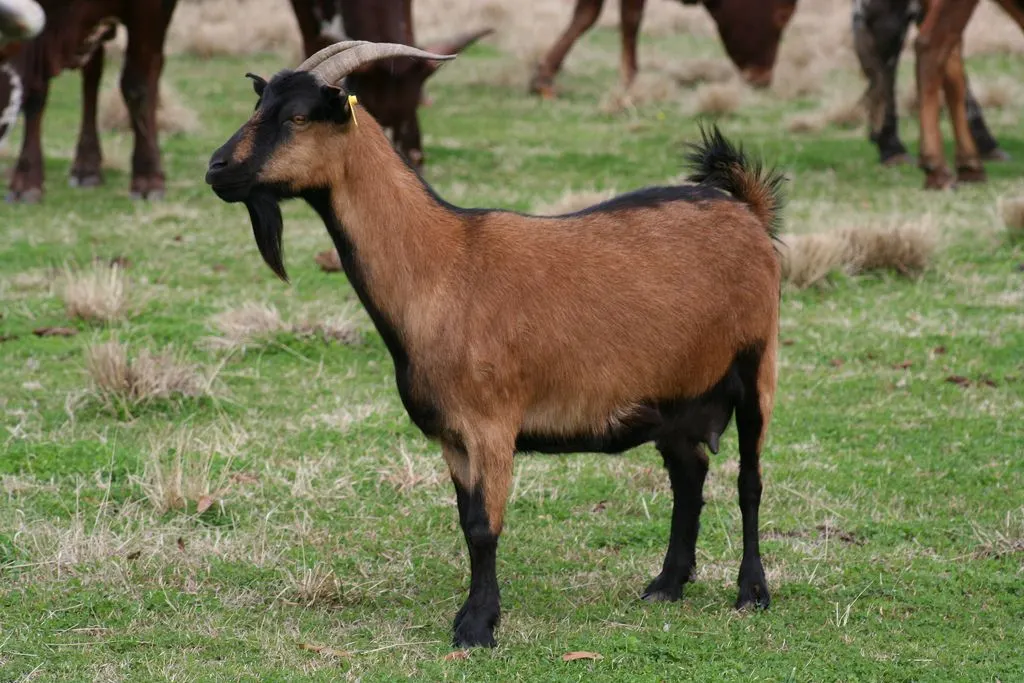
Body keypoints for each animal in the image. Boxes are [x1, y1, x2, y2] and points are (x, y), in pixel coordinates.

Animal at [206, 41, 784, 648]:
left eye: (296, 117)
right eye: (259, 104)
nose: (216, 168)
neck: (441, 265)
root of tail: (747, 210)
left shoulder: (492, 424)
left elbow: (486, 526)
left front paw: (477, 626)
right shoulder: (453, 437)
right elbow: (467, 522)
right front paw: (475, 615)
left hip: (756, 365)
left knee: (749, 481)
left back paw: (752, 592)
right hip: (673, 397)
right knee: (688, 475)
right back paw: (667, 584)